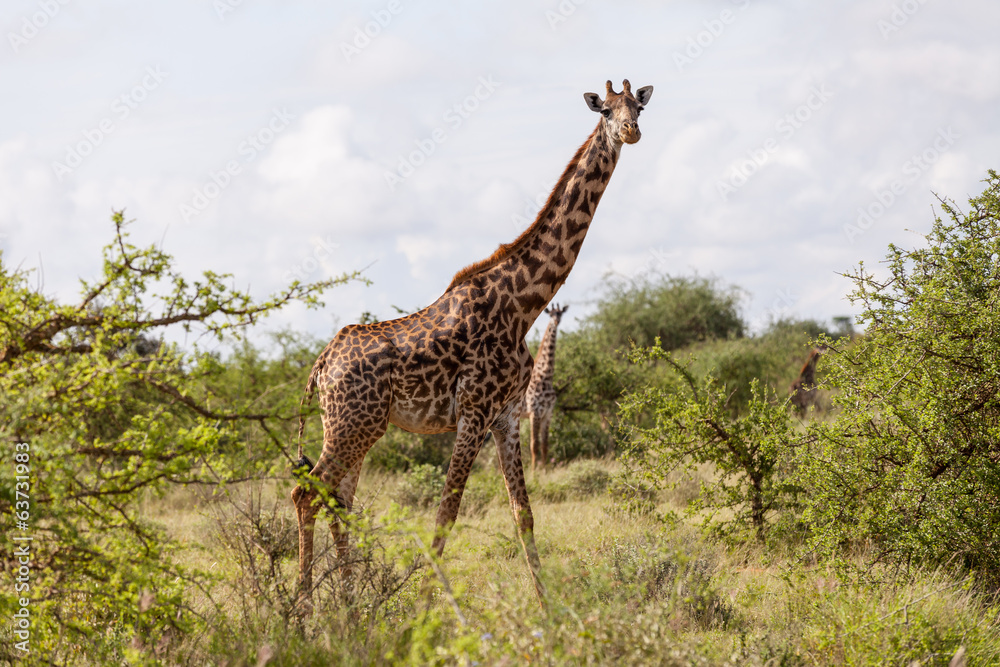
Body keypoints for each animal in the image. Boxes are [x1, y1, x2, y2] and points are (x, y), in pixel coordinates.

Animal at [522, 303, 568, 470]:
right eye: (551, 314)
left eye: (561, 313)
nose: (556, 321)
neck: (546, 377)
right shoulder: (535, 412)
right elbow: (534, 444)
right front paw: (534, 472)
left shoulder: (548, 413)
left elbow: (545, 444)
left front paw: (544, 470)